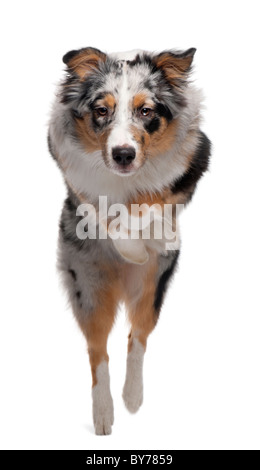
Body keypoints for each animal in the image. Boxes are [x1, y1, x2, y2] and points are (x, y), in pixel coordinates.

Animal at [48, 46, 211, 436]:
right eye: (101, 110)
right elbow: (100, 211)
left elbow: (153, 202)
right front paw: (128, 243)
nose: (123, 154)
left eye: (146, 111)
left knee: (137, 337)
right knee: (98, 351)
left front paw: (149, 239)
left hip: (152, 289)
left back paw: (132, 396)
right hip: (88, 288)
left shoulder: (193, 162)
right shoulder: (68, 166)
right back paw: (103, 413)